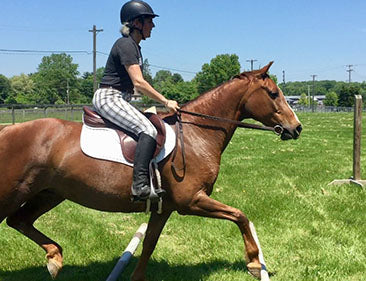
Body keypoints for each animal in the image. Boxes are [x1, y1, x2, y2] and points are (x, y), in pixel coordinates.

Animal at [0, 61, 302, 280]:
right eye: (273, 94)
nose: (296, 128)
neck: (196, 135)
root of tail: (7, 131)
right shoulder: (192, 201)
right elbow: (240, 216)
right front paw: (254, 263)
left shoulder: (164, 208)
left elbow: (149, 244)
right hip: (14, 194)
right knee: (14, 220)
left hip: (50, 193)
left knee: (19, 221)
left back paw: (55, 258)